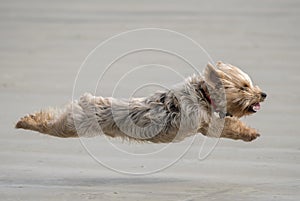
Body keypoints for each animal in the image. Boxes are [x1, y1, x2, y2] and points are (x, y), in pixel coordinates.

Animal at [15, 62, 268, 142]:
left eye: (250, 84)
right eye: (244, 87)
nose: (264, 94)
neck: (203, 95)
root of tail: (88, 100)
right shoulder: (203, 123)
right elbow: (229, 126)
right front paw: (250, 133)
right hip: (74, 125)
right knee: (51, 124)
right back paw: (25, 121)